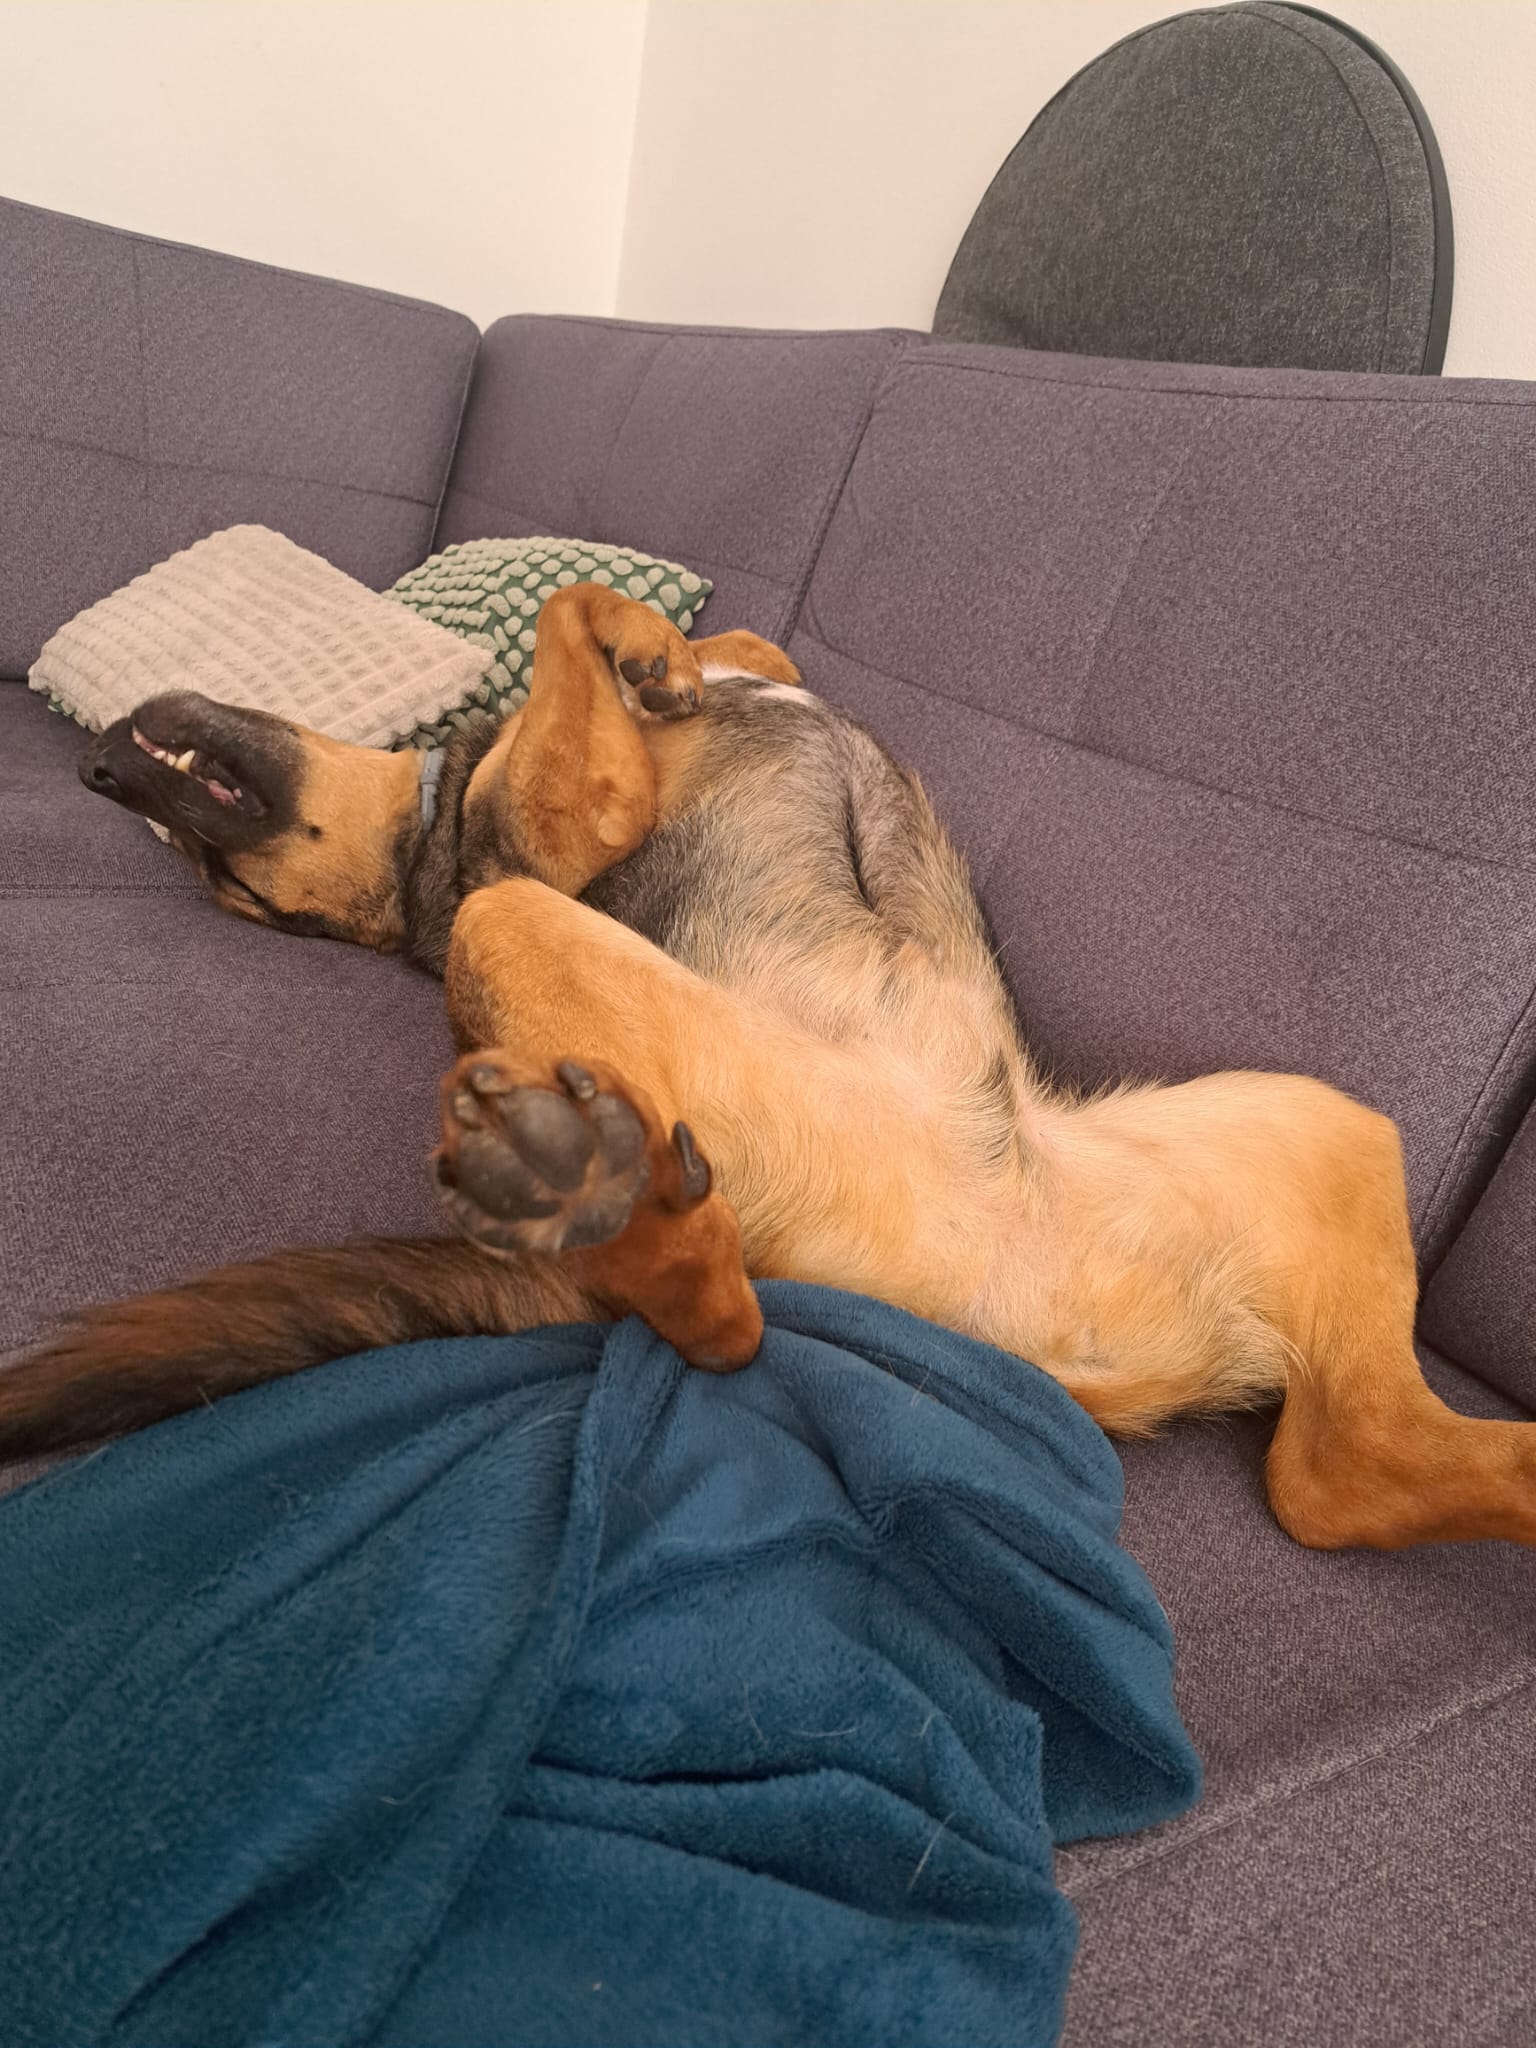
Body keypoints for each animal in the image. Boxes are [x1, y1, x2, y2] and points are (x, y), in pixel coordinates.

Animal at [3, 583, 1531, 1551]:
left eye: (225, 882)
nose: (92, 779)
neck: (423, 849)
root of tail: (1003, 1347)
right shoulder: (562, 826)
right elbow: (579, 616)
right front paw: (647, 649)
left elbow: (725, 640)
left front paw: (677, 649)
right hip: (571, 978)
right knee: (728, 1332)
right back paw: (621, 1208)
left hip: (1325, 1123)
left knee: (1344, 1475)